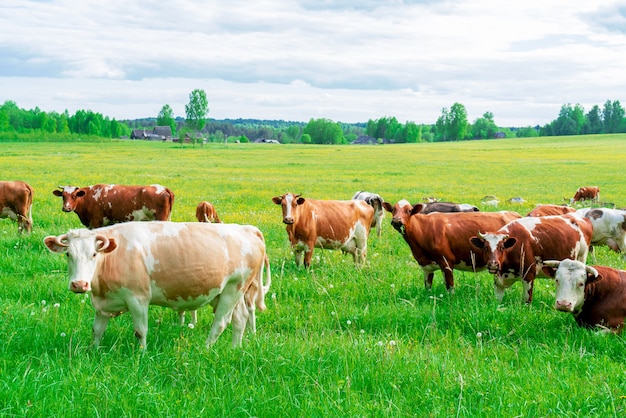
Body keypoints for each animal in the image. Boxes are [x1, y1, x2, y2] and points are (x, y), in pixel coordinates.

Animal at [43, 222, 268, 350]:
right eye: (68, 254)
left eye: (94, 254)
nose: (79, 284)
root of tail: (247, 229)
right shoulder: (104, 303)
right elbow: (97, 330)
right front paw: (93, 351)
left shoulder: (138, 299)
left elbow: (140, 330)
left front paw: (141, 355)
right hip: (229, 292)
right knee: (240, 319)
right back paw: (234, 349)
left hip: (233, 289)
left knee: (221, 323)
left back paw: (206, 349)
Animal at [388, 207, 520, 292]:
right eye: (393, 210)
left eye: (409, 210)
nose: (396, 220)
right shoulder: (426, 266)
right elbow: (428, 287)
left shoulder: (446, 262)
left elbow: (450, 287)